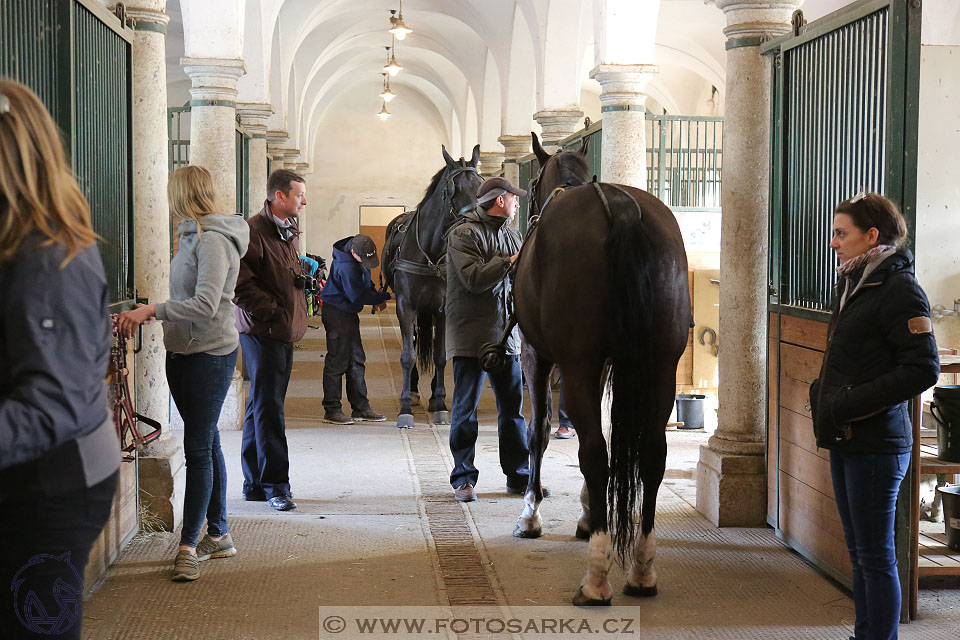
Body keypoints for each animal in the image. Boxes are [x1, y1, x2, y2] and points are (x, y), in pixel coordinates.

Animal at [382, 143, 484, 428]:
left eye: (481, 184)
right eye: (453, 188)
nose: (474, 220)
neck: (430, 251)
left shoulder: (443, 310)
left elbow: (441, 355)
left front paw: (439, 404)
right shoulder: (405, 307)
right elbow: (408, 355)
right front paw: (405, 407)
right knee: (415, 343)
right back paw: (414, 392)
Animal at [510, 131, 688, 604]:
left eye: (530, 183)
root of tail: (621, 208)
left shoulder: (538, 355)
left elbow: (538, 432)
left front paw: (531, 515)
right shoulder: (607, 365)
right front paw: (591, 514)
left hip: (578, 365)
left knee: (593, 451)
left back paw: (595, 580)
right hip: (661, 366)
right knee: (652, 454)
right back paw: (642, 569)